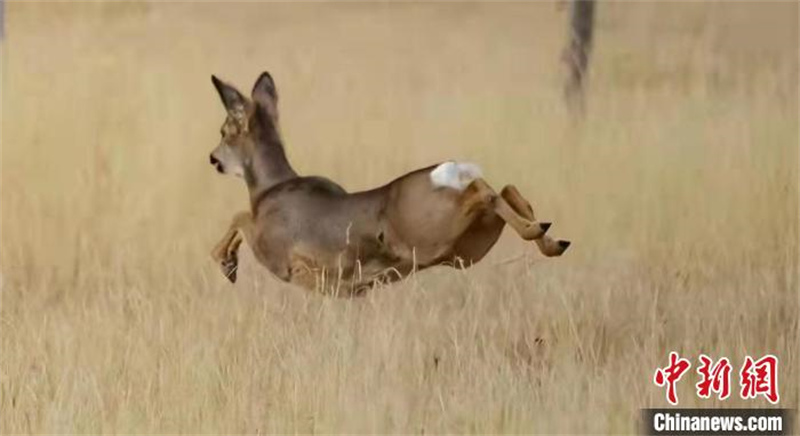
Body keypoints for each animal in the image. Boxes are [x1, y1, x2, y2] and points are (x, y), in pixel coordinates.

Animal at [206, 71, 568, 296]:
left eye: (225, 131)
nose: (213, 158)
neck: (269, 189)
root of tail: (452, 171)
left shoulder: (277, 256)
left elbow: (239, 217)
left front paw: (227, 265)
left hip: (435, 235)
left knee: (484, 191)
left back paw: (539, 232)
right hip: (468, 248)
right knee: (505, 189)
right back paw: (551, 237)